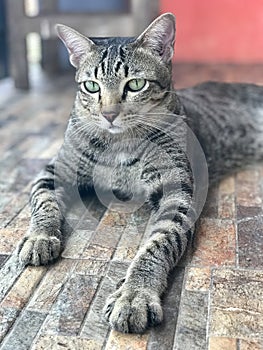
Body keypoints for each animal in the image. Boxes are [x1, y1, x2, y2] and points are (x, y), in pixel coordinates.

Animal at [17, 12, 263, 332]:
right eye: (92, 86)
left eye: (135, 84)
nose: (109, 114)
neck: (119, 144)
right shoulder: (54, 170)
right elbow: (44, 202)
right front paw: (40, 236)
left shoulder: (177, 193)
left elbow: (159, 242)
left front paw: (135, 295)